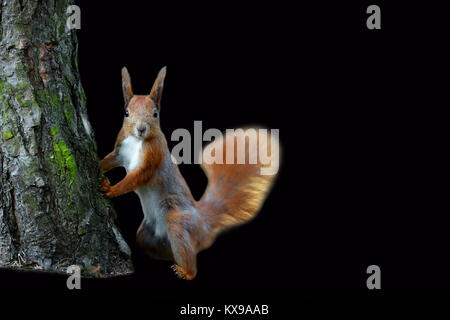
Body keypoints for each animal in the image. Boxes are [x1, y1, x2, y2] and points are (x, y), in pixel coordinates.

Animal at [100, 66, 280, 278]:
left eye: (155, 113)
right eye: (126, 112)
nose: (141, 129)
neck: (136, 142)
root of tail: (202, 222)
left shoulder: (152, 158)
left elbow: (134, 179)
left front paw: (111, 189)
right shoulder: (119, 151)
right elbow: (109, 160)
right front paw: (100, 168)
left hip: (178, 223)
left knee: (190, 257)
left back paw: (185, 272)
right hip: (146, 236)